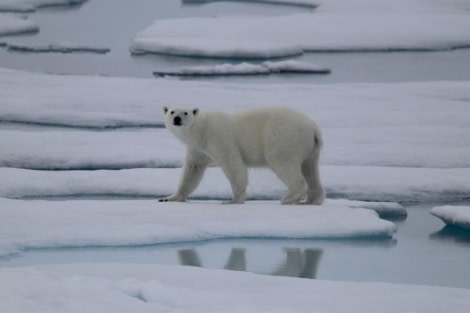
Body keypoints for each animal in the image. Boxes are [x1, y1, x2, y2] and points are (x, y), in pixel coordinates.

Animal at [160, 106, 324, 205]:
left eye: (185, 112)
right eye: (172, 111)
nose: (177, 119)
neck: (202, 129)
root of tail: (313, 127)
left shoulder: (220, 138)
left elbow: (233, 165)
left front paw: (233, 200)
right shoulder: (197, 149)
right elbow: (192, 170)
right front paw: (168, 198)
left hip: (284, 137)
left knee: (282, 161)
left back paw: (289, 198)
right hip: (311, 149)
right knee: (310, 168)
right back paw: (312, 200)